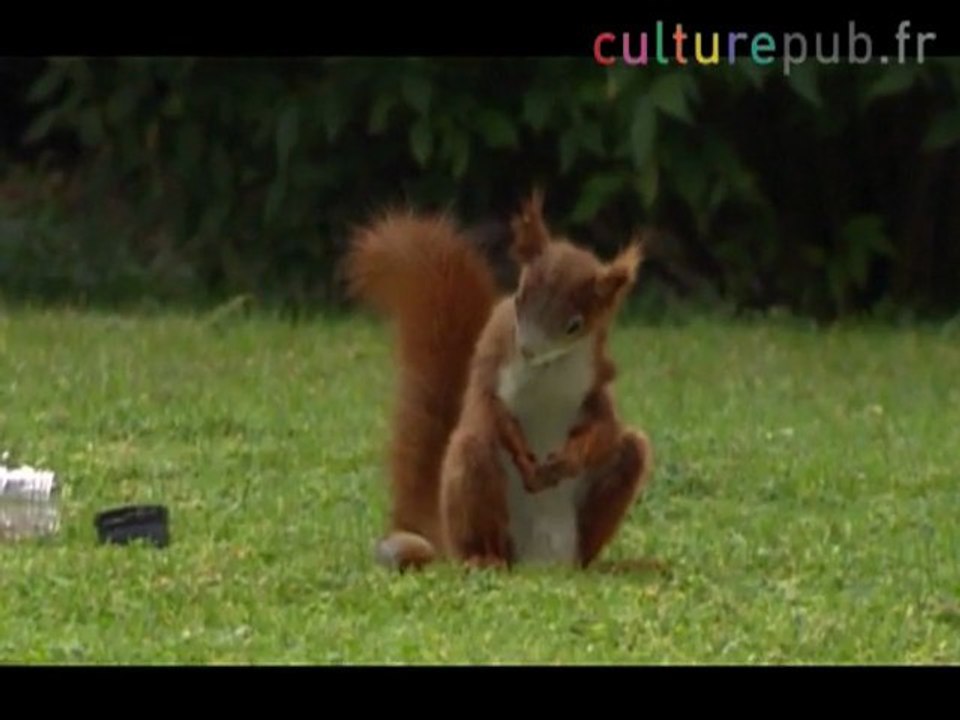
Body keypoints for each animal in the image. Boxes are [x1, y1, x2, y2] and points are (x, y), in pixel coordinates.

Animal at [344, 190, 653, 571]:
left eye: (575, 325)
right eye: (518, 298)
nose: (527, 349)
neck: (547, 367)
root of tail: (538, 562)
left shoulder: (596, 378)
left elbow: (605, 426)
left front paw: (567, 460)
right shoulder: (492, 363)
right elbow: (487, 407)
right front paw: (522, 455)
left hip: (611, 485)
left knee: (628, 453)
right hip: (474, 480)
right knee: (477, 465)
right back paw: (483, 558)